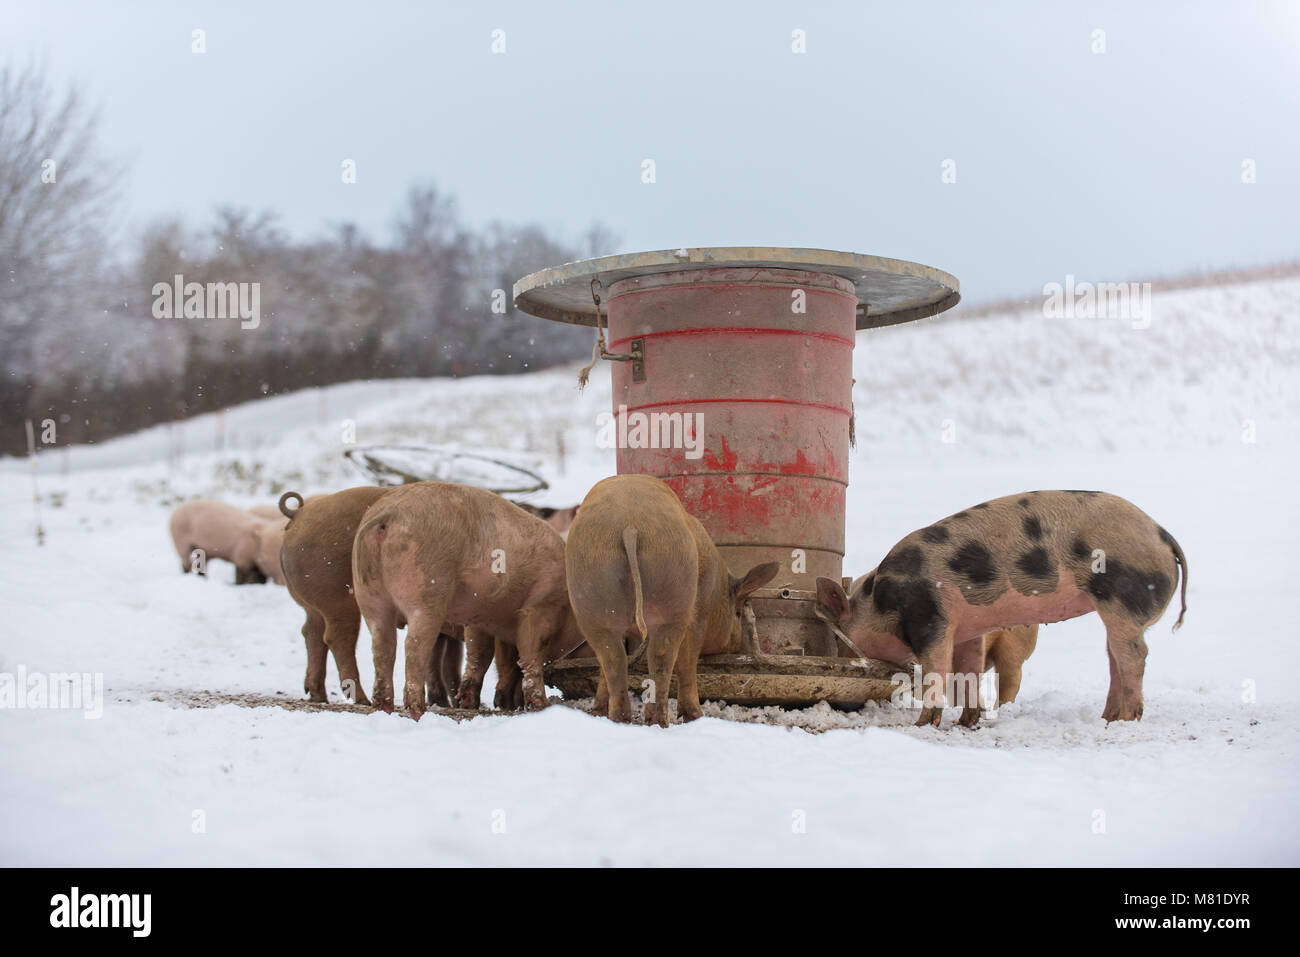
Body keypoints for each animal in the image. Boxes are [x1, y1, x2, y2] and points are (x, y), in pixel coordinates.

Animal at [278, 488, 462, 708]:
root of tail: (298, 515)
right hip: (338, 600)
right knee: (337, 638)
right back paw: (362, 700)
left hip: (315, 606)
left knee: (311, 632)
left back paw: (319, 696)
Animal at [351, 481, 587, 718]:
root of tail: (386, 516)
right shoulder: (541, 604)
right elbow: (530, 654)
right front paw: (540, 707)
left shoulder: (481, 617)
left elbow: (482, 655)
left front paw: (468, 703)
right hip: (427, 592)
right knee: (413, 647)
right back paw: (419, 712)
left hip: (369, 597)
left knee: (382, 648)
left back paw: (383, 708)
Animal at [565, 475, 779, 727]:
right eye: (737, 613)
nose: (738, 646)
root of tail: (630, 525)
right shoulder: (699, 613)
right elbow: (689, 658)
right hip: (673, 585)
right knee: (664, 657)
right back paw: (672, 720)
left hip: (593, 588)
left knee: (613, 658)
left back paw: (618, 719)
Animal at [815, 490, 1187, 726]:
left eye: (839, 638)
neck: (879, 600)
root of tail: (1163, 535)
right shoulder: (966, 629)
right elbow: (968, 672)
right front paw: (967, 722)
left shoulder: (930, 620)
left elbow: (937, 672)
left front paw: (920, 725)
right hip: (1115, 611)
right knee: (1115, 658)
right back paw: (1107, 718)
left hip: (1121, 599)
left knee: (1135, 655)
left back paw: (1126, 719)